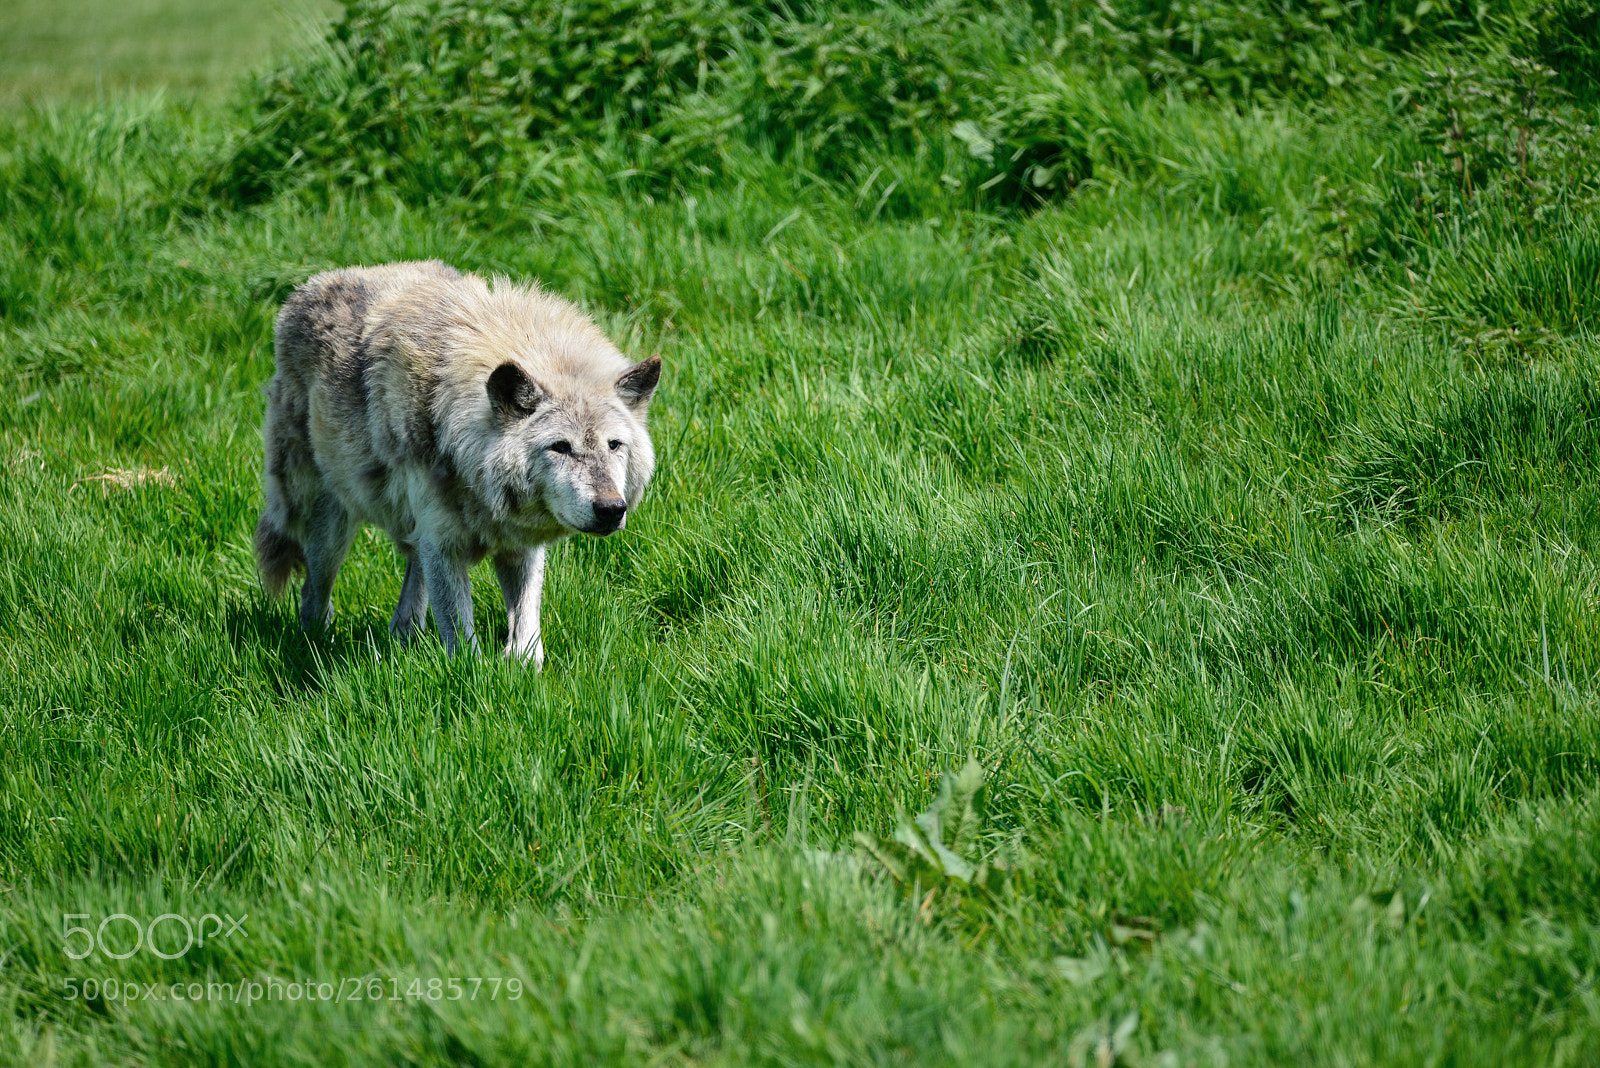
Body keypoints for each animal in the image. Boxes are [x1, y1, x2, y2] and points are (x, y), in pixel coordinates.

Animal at [254, 260, 660, 667]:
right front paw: (476, 676)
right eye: (560, 447)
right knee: (312, 595)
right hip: (330, 528)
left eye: (614, 445)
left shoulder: (517, 543)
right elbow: (461, 639)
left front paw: (522, 670)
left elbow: (527, 630)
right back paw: (316, 645)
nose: (611, 509)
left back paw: (403, 635)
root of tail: (306, 287)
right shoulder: (443, 543)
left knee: (409, 586)